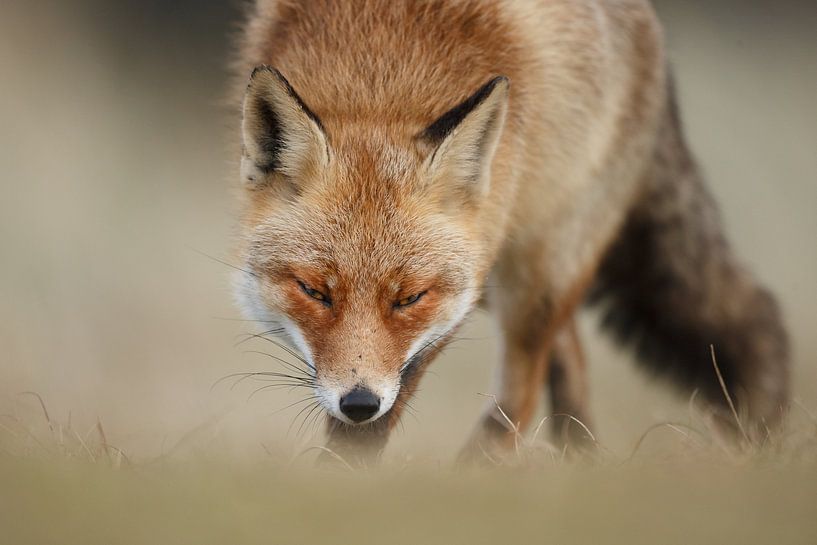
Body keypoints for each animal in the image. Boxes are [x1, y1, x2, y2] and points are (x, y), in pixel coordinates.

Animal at [230, 0, 789, 464]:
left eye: (410, 298)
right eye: (314, 291)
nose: (360, 402)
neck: (379, 80)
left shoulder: (445, 311)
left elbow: (368, 433)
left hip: (538, 267)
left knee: (521, 396)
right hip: (498, 271)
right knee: (568, 354)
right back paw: (580, 463)